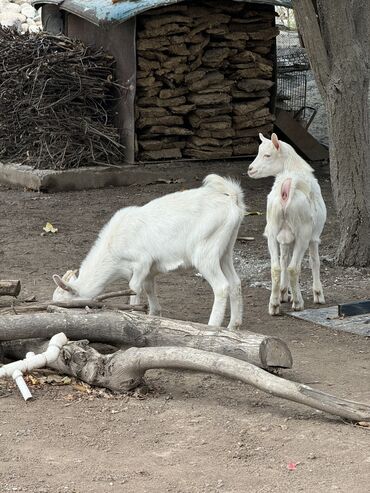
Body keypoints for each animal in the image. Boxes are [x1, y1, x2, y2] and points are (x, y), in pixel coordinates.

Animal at [52, 175, 246, 328]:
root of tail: (232, 201)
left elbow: (133, 288)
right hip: (225, 250)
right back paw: (233, 326)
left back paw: (212, 326)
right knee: (235, 282)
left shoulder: (141, 262)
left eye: (64, 303)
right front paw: (154, 314)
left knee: (221, 286)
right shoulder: (150, 269)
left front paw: (134, 314)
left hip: (205, 253)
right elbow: (148, 287)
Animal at [247, 133, 326, 314]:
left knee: (276, 267)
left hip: (272, 229)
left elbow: (283, 259)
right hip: (303, 233)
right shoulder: (314, 237)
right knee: (293, 268)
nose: (250, 169)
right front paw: (318, 295)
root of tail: (286, 188)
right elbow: (314, 261)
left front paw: (283, 293)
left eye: (267, 155)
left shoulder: (284, 238)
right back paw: (298, 303)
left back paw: (274, 305)